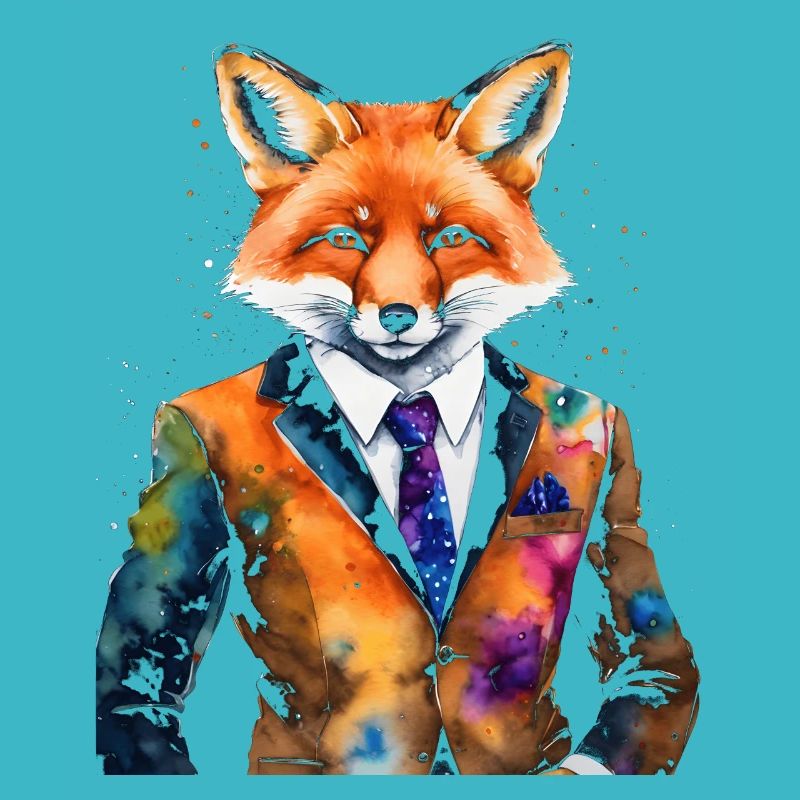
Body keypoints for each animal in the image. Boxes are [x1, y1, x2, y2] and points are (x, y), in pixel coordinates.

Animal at [96, 41, 699, 776]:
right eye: (346, 240)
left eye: (450, 237)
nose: (398, 316)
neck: (410, 400)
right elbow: (132, 687)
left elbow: (658, 660)